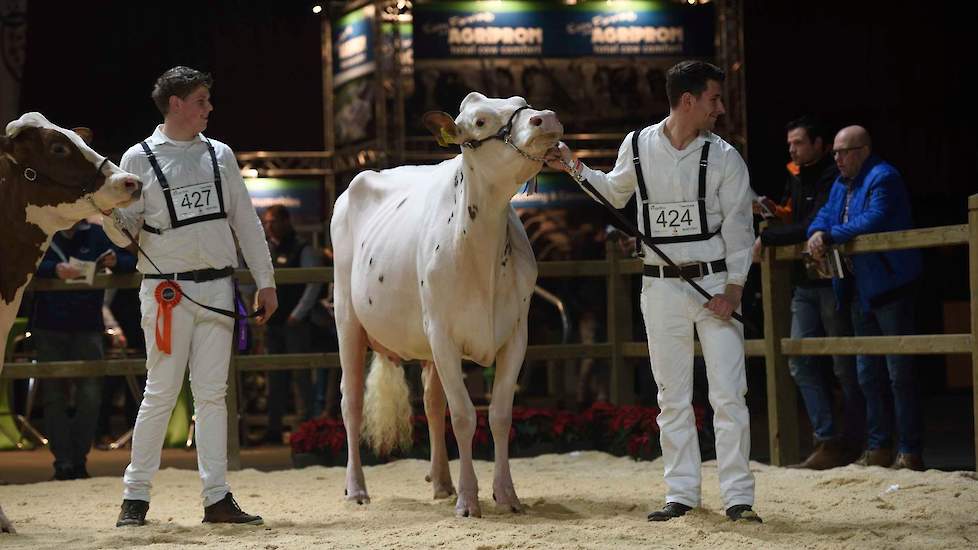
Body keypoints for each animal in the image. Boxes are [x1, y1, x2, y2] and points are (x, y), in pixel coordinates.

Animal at [332, 92, 560, 520]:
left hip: (426, 344)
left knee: (431, 402)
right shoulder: (442, 334)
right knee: (350, 400)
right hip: (347, 318)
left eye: (521, 101)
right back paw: (356, 489)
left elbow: (499, 415)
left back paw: (440, 482)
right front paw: (469, 500)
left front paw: (506, 494)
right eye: (481, 121)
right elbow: (465, 416)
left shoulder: (516, 334)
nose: (546, 118)